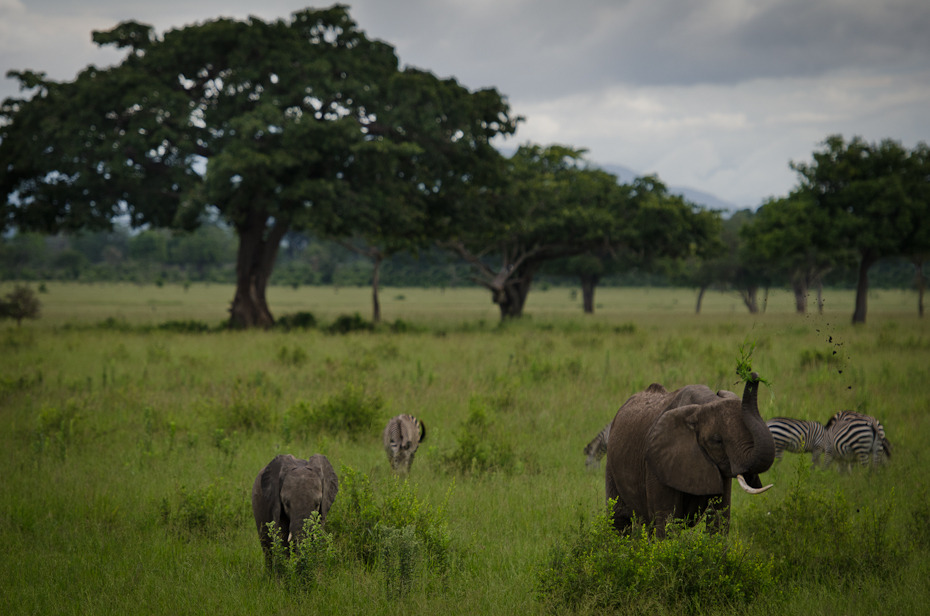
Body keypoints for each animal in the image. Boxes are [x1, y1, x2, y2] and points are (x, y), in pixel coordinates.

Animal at [600, 372, 776, 536]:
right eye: (717, 441)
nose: (753, 374)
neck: (704, 404)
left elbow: (719, 519)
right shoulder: (658, 464)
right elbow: (667, 520)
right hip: (611, 465)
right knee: (619, 520)